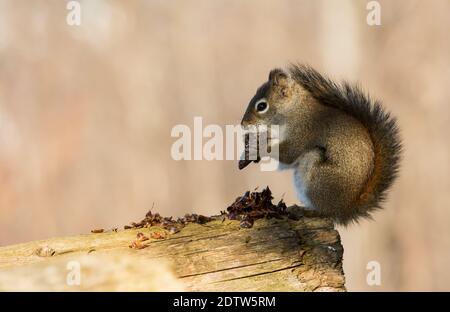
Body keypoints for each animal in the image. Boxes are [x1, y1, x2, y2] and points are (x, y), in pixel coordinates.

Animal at [239, 64, 400, 224]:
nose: (243, 124)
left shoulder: (303, 132)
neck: (293, 110)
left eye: (261, 106)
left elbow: (288, 154)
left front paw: (256, 149)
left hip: (319, 175)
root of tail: (345, 210)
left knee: (324, 212)